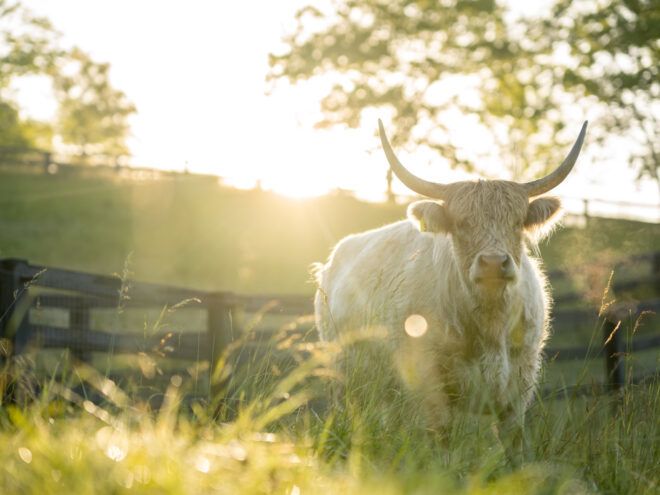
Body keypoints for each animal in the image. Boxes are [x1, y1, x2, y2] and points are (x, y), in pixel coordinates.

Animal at [313, 119, 587, 431]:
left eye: (517, 223)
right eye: (461, 223)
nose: (493, 263)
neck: (490, 323)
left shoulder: (518, 390)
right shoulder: (430, 387)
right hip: (343, 378)